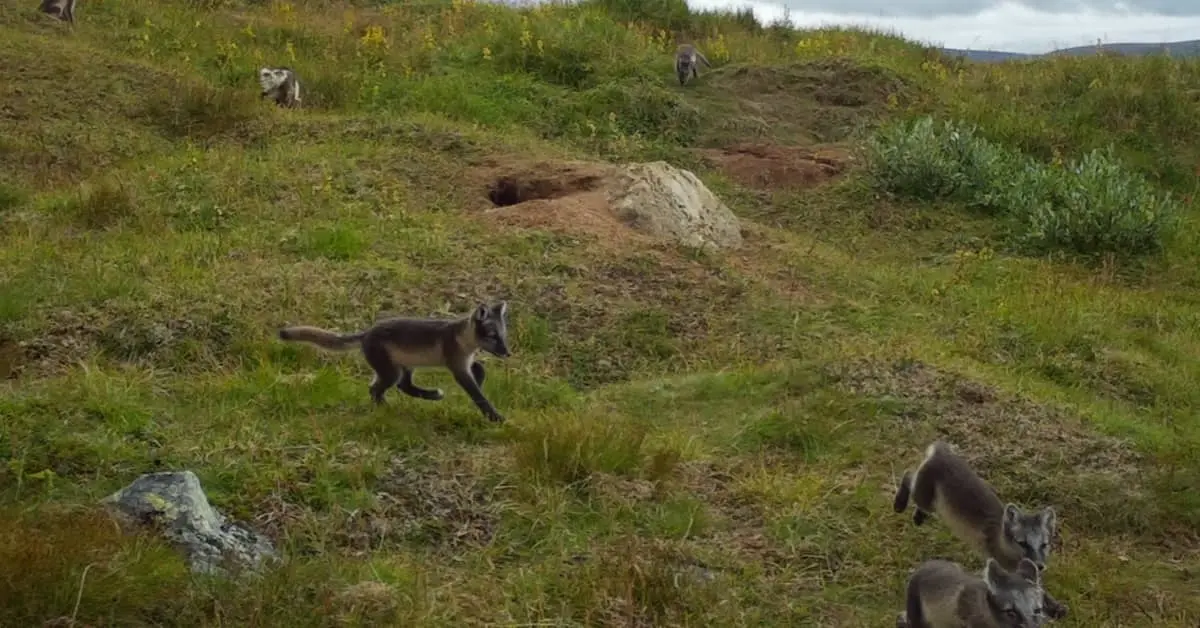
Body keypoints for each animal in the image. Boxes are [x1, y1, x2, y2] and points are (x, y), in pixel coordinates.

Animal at [279, 301, 511, 422]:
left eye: (503, 335)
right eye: (492, 336)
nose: (507, 353)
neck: (462, 339)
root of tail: (366, 333)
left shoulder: (466, 362)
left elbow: (480, 370)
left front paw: (480, 382)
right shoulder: (457, 365)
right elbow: (478, 395)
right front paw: (495, 417)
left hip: (404, 367)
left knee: (402, 386)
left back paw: (431, 395)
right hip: (390, 371)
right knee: (376, 388)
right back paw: (386, 408)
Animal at [892, 441, 1070, 619]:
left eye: (1044, 544)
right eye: (1022, 543)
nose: (1040, 565)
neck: (1000, 539)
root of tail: (942, 451)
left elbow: (1039, 589)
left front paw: (1056, 607)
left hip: (930, 503)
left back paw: (918, 517)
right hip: (923, 496)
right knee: (908, 475)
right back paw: (899, 503)